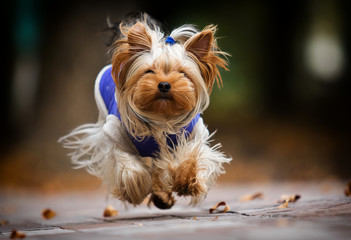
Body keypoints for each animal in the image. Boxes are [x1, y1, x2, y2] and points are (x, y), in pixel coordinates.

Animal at [59, 14, 232, 209]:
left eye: (182, 73)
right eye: (149, 71)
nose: (164, 85)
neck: (161, 116)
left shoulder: (193, 135)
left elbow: (192, 154)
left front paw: (187, 180)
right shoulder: (117, 135)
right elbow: (129, 166)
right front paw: (136, 189)